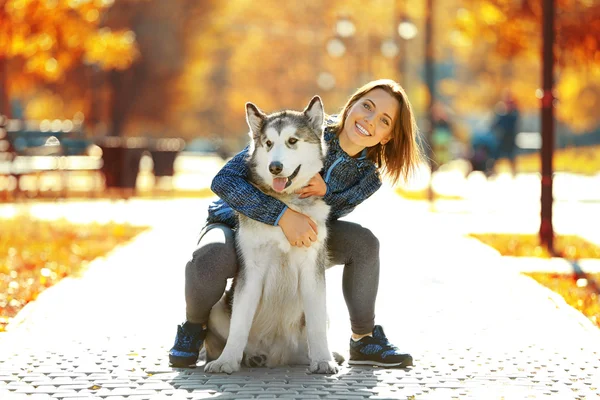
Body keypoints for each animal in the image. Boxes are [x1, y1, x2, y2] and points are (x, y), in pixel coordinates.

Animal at [204, 97, 340, 376]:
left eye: (292, 140)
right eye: (268, 143)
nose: (275, 167)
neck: (285, 203)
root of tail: (277, 356)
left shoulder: (312, 270)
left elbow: (316, 324)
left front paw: (324, 359)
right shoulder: (251, 271)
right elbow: (239, 324)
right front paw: (226, 361)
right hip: (216, 307)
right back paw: (248, 357)